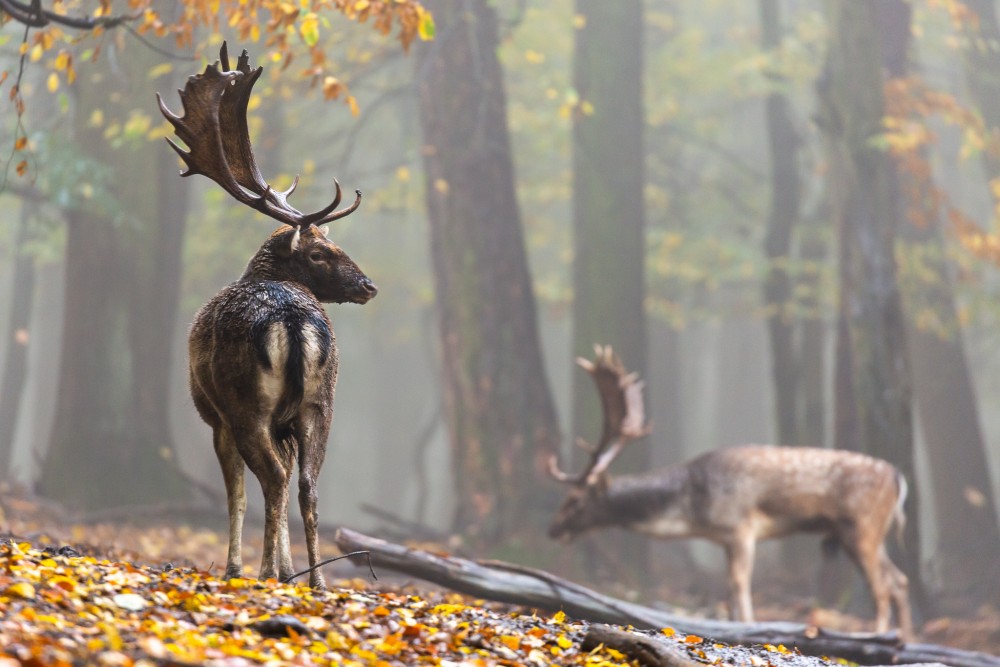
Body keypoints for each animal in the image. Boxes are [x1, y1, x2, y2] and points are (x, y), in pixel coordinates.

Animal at [548, 348, 916, 640]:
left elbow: (740, 584)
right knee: (899, 580)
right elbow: (727, 587)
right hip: (864, 534)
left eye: (575, 499)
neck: (693, 511)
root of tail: (897, 477)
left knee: (881, 589)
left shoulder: (741, 527)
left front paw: (750, 626)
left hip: (862, 527)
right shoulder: (725, 539)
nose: (553, 529)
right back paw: (904, 639)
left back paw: (881, 637)